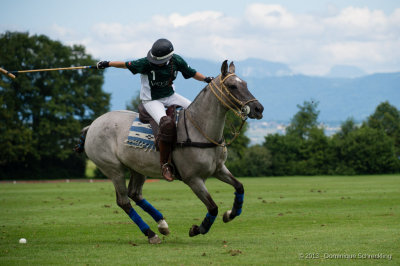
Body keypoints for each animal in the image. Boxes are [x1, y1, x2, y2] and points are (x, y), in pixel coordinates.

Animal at [81, 60, 264, 243]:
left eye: (245, 84)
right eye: (232, 86)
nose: (258, 109)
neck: (200, 130)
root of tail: (92, 125)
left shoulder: (218, 169)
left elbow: (239, 187)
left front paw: (230, 214)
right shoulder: (193, 178)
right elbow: (212, 207)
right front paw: (197, 229)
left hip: (138, 167)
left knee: (135, 194)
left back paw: (162, 224)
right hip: (113, 168)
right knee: (124, 201)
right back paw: (151, 234)